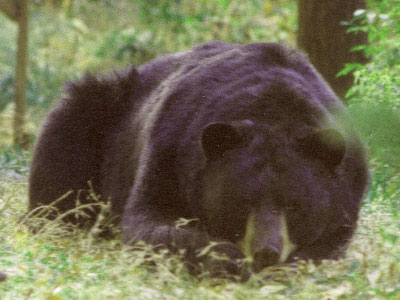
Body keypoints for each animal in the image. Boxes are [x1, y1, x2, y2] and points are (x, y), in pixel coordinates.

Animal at [28, 42, 370, 276]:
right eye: (242, 201)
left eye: (294, 205)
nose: (266, 251)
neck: (272, 108)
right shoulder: (170, 147)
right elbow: (148, 221)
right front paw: (227, 257)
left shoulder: (349, 184)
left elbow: (332, 240)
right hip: (101, 114)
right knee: (62, 145)